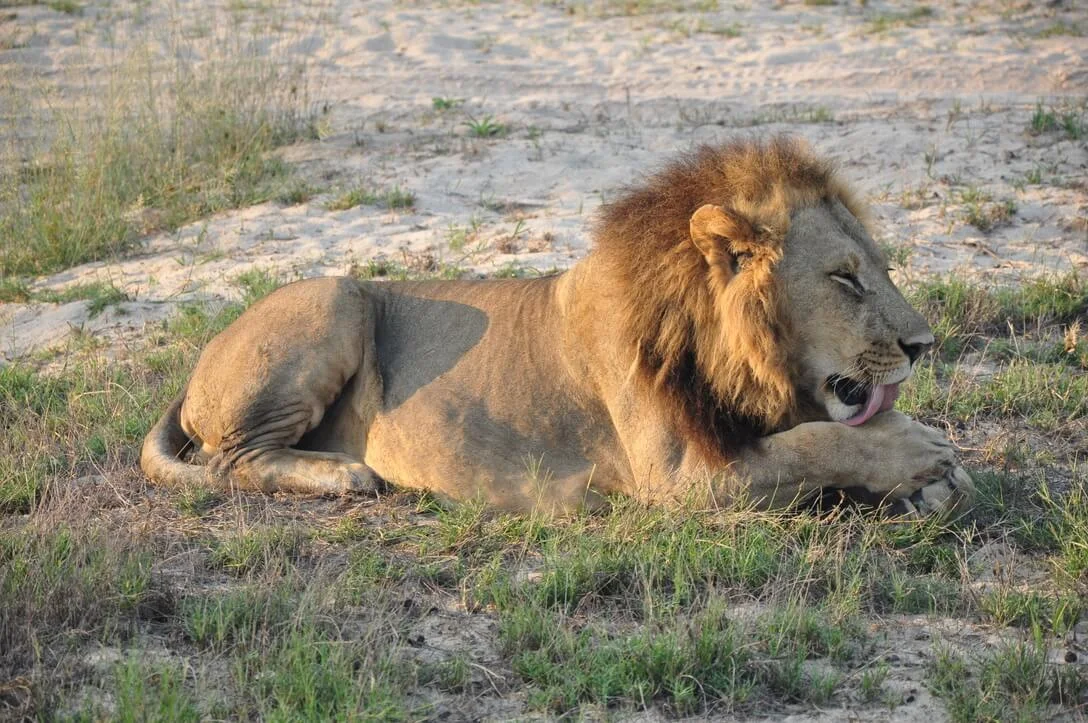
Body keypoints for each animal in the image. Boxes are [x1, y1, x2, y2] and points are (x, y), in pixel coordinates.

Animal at [141, 137, 974, 516]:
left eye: (878, 266)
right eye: (843, 277)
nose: (922, 346)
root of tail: (197, 365)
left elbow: (818, 437)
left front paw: (938, 479)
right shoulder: (680, 477)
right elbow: (814, 444)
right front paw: (920, 451)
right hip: (335, 298)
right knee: (230, 461)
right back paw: (344, 473)